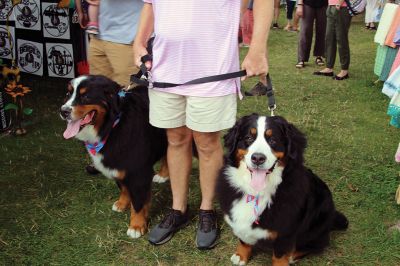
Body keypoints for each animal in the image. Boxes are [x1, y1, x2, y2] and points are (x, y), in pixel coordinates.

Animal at [59, 75, 169, 239]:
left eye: (86, 96)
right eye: (68, 94)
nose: (63, 111)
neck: (112, 126)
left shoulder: (138, 172)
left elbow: (138, 203)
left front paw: (136, 226)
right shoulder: (116, 164)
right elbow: (123, 187)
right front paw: (122, 204)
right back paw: (163, 175)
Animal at [217, 114, 348, 266]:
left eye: (273, 140)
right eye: (248, 138)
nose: (258, 158)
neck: (257, 192)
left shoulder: (285, 232)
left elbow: (279, 256)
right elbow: (244, 240)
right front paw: (241, 255)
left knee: (317, 243)